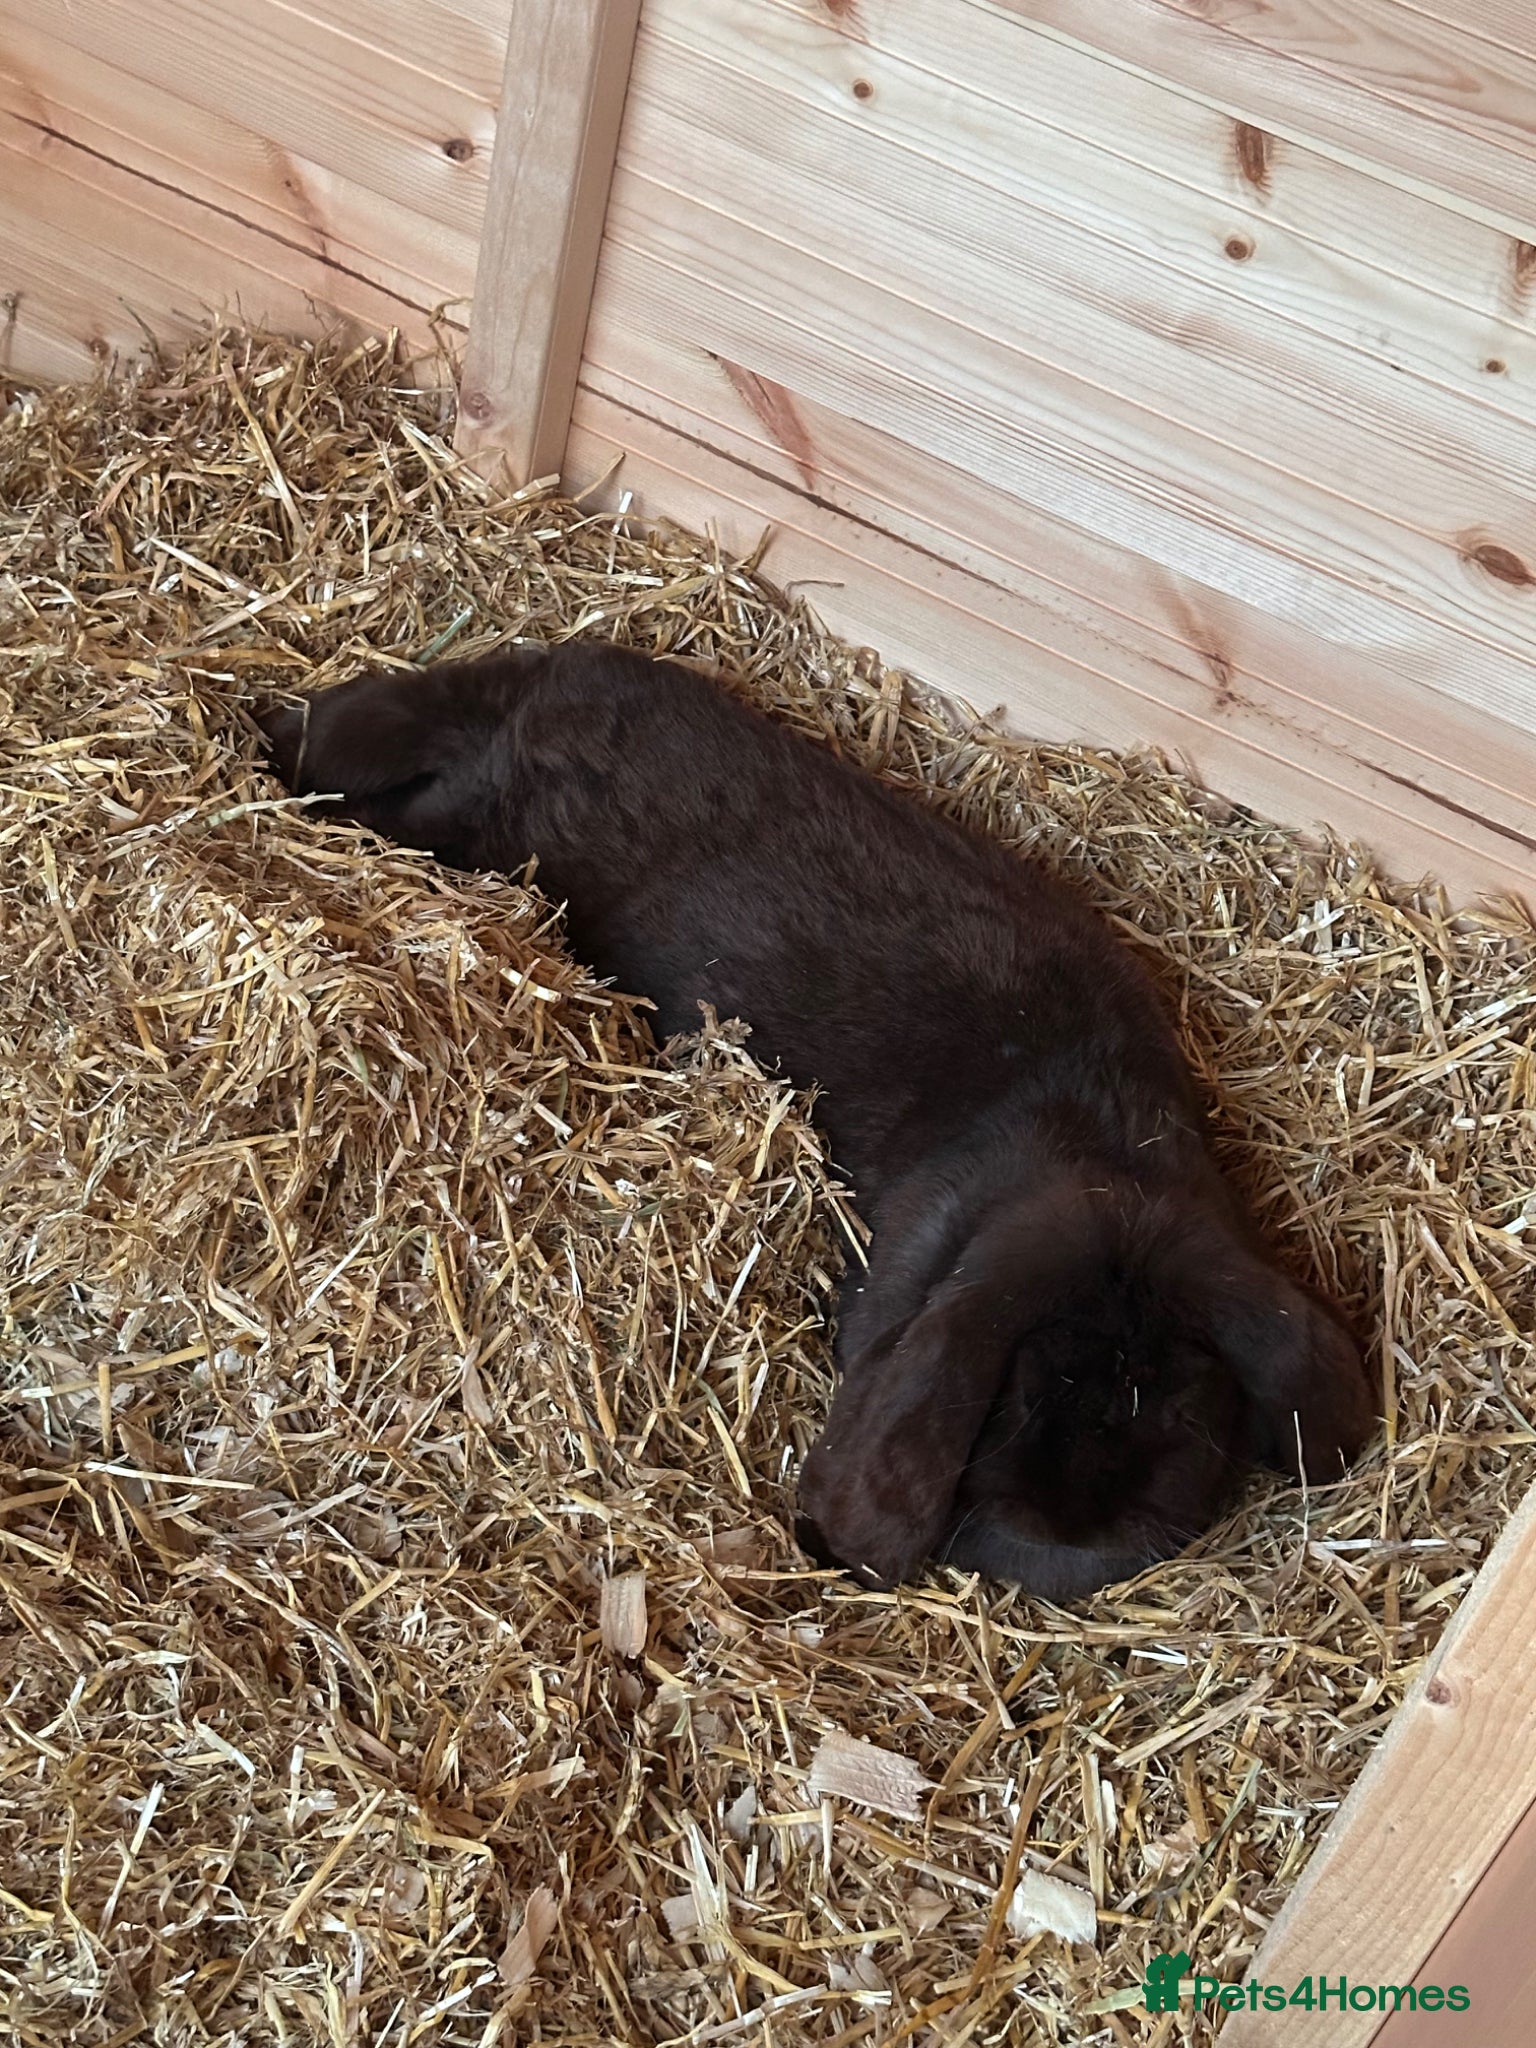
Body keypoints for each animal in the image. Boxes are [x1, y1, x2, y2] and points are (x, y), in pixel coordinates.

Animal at [257, 639, 1375, 1597]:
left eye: (1181, 1405)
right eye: (1022, 1393)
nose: (1069, 1531)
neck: (1104, 1167)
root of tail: (556, 674)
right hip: (481, 819)